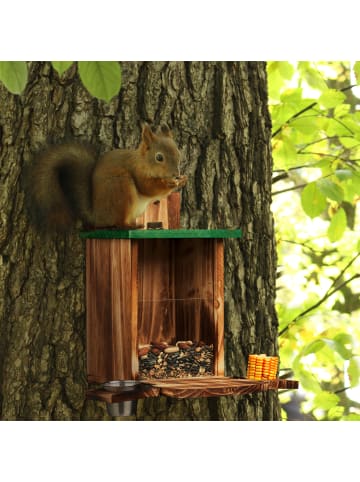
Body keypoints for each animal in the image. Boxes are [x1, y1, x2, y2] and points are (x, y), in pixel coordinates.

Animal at [24, 123, 188, 231]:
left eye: (178, 153)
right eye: (159, 157)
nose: (176, 174)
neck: (142, 162)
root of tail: (97, 216)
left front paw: (183, 180)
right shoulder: (137, 172)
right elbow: (148, 188)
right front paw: (169, 184)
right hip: (121, 188)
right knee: (118, 222)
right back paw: (131, 225)